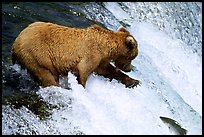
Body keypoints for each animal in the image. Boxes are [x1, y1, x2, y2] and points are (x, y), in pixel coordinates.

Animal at [11, 21, 140, 88]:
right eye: (133, 57)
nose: (129, 69)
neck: (106, 47)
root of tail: (16, 41)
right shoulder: (92, 53)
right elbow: (83, 71)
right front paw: (82, 86)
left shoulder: (100, 60)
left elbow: (108, 70)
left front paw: (134, 81)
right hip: (37, 56)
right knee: (47, 76)